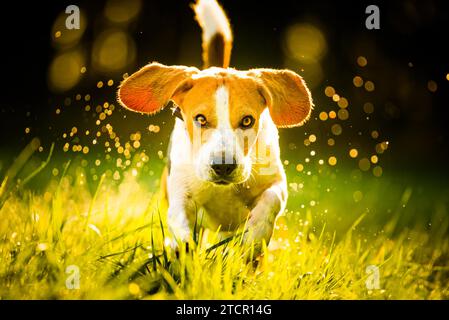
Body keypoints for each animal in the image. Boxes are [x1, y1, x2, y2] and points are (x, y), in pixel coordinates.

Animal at [117, 0, 310, 254]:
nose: (223, 166)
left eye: (247, 120)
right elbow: (180, 222)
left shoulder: (276, 182)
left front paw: (256, 234)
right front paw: (184, 253)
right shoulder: (180, 194)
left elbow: (272, 199)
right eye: (200, 119)